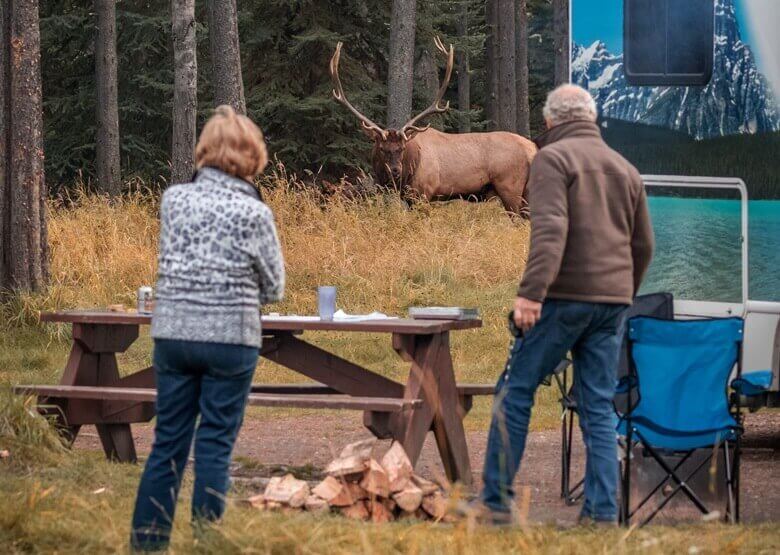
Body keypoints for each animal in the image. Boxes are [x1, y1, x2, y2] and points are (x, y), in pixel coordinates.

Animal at [330, 38, 536, 216]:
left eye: (401, 148)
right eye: (382, 148)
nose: (395, 170)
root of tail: (531, 149)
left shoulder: (424, 193)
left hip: (510, 186)